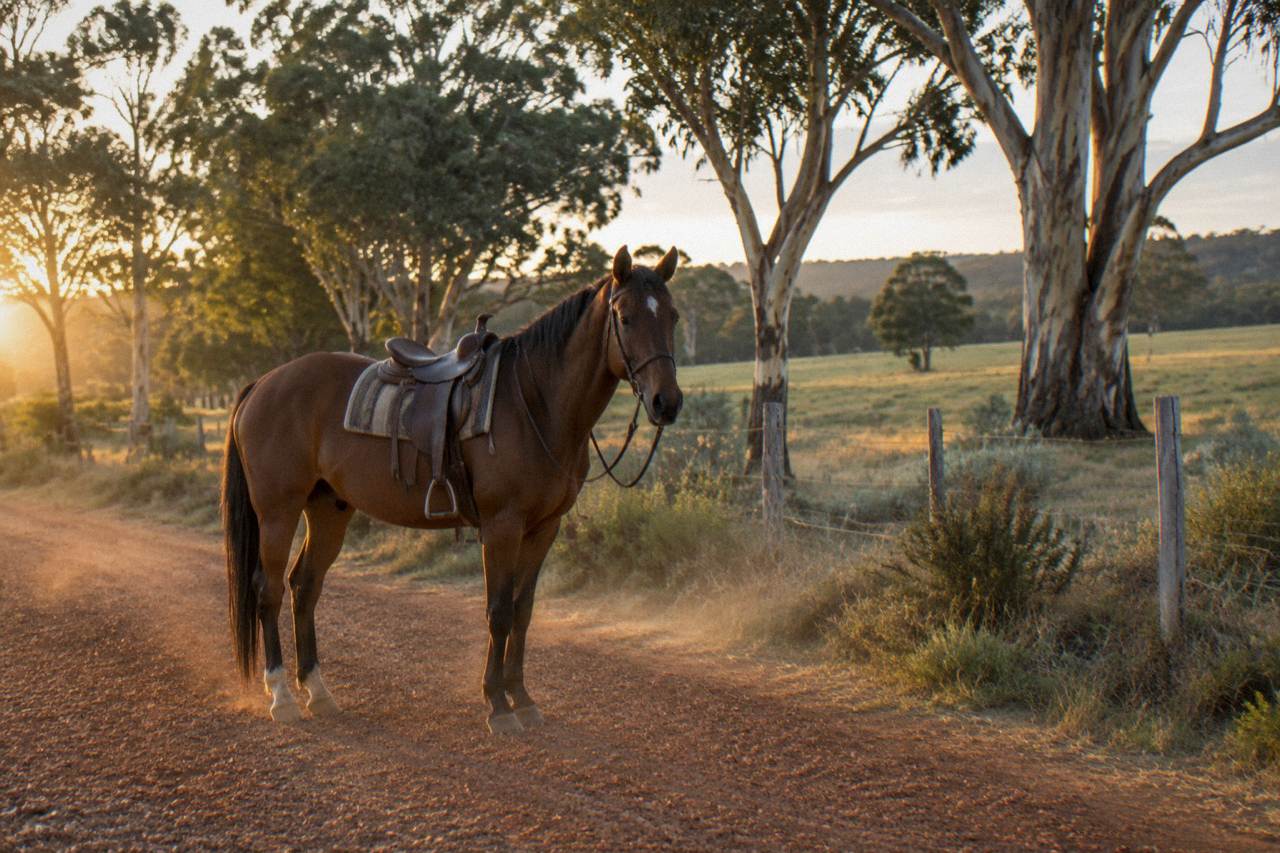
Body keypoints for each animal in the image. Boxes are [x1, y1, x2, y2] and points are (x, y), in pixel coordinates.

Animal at [221, 245, 683, 733]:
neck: (534, 402)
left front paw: (522, 698)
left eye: (672, 316)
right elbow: (498, 612)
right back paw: (282, 696)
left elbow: (523, 611)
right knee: (268, 590)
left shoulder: (544, 528)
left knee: (304, 586)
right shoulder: (502, 527)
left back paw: (318, 692)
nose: (666, 402)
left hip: (328, 509)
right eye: (626, 317)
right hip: (278, 511)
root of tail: (262, 383)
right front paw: (498, 705)